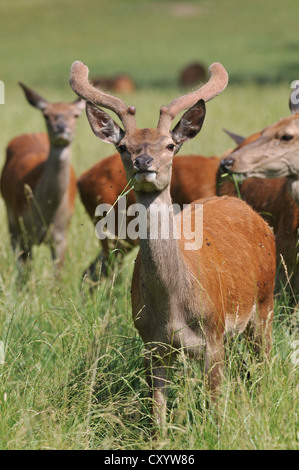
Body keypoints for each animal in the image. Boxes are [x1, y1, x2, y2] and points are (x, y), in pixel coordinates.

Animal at [0, 82, 84, 270]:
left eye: (75, 115)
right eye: (46, 115)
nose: (61, 128)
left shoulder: (61, 235)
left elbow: (57, 274)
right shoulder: (23, 229)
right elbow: (26, 271)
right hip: (11, 219)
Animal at [70, 60, 276, 432]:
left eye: (169, 145)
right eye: (123, 146)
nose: (144, 163)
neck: (173, 309)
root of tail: (250, 212)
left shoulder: (213, 335)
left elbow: (214, 405)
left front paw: (217, 433)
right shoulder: (152, 344)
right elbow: (157, 414)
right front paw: (163, 436)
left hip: (265, 302)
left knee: (264, 363)